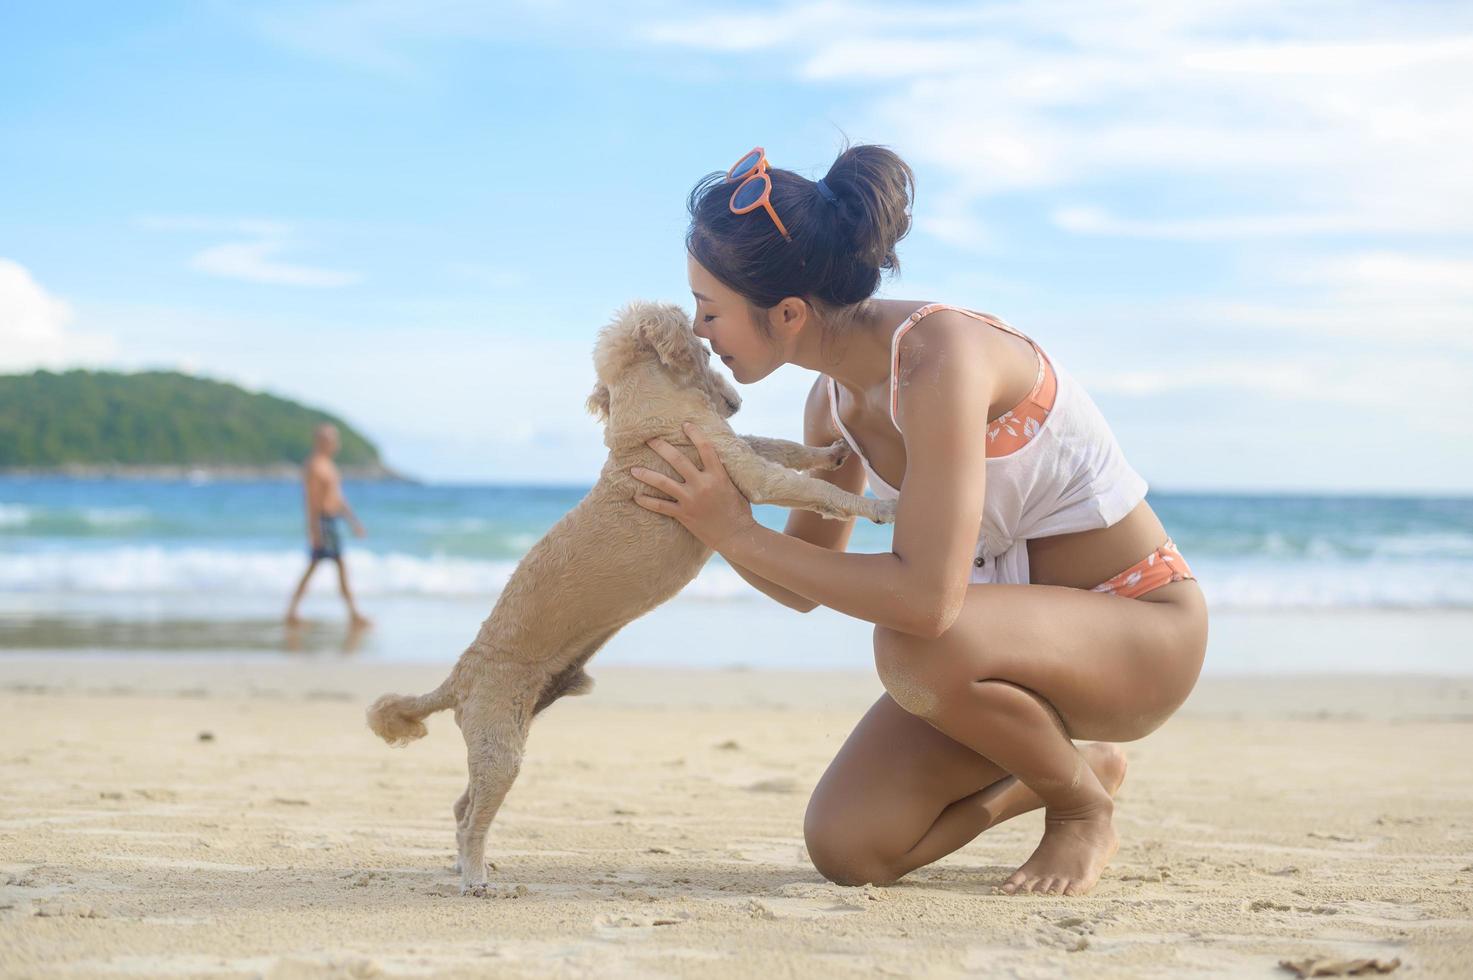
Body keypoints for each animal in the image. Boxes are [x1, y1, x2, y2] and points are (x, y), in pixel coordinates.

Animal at [371, 297, 895, 896]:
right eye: (705, 351)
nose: (736, 401)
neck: (648, 413)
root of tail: (456, 679)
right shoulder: (746, 471)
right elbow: (812, 489)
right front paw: (880, 506)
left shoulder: (737, 448)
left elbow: (784, 447)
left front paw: (832, 450)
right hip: (500, 745)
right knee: (472, 818)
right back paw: (476, 877)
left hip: (505, 733)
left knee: (461, 806)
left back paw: (469, 867)